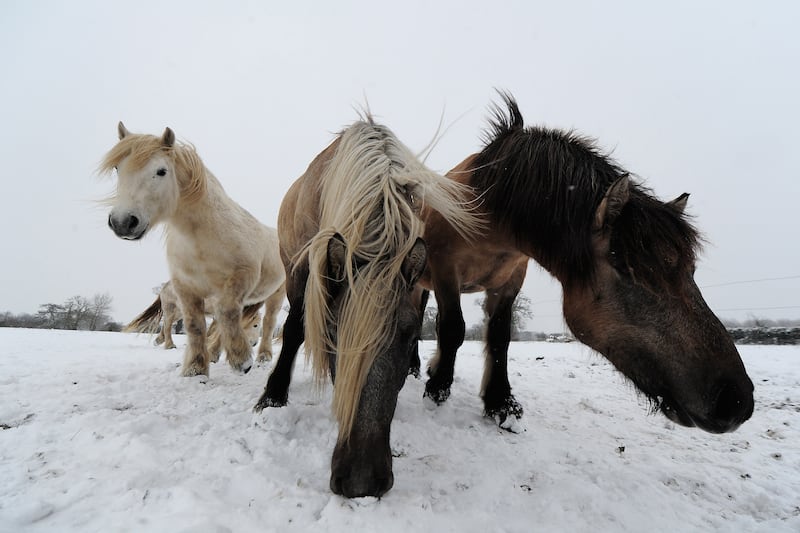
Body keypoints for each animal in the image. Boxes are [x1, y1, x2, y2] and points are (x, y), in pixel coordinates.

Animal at [125, 280, 281, 363]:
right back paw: (169, 344)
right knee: (168, 326)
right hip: (171, 309)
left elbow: (212, 329)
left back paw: (159, 340)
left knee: (167, 325)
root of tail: (165, 287)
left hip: (179, 313)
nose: (254, 344)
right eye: (255, 325)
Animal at [253, 115, 482, 498]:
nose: (360, 481)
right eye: (333, 333)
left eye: (408, 336)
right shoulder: (302, 271)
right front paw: (273, 395)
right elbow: (295, 330)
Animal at [414, 92, 754, 434]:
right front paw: (438, 389)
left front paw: (500, 404)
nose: (735, 400)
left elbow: (499, 338)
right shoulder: (446, 273)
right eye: (625, 267)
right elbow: (452, 329)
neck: (483, 215)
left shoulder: (509, 283)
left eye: (691, 270)